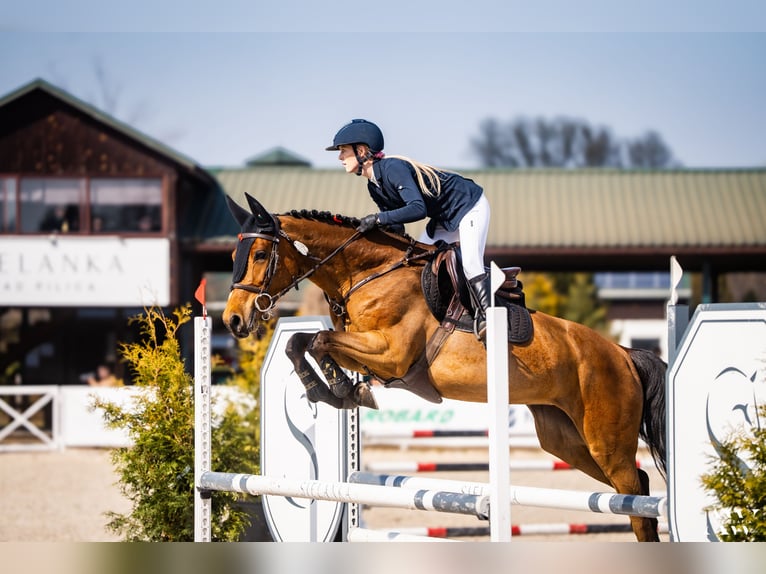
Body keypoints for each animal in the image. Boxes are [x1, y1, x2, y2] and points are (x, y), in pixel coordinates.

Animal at [222, 193, 668, 542]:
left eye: (259, 255)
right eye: (233, 256)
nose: (233, 321)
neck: (367, 273)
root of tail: (622, 353)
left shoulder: (391, 354)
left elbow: (317, 341)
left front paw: (337, 390)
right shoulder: (365, 351)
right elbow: (301, 343)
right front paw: (335, 389)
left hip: (605, 440)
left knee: (636, 497)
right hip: (566, 441)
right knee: (637, 489)